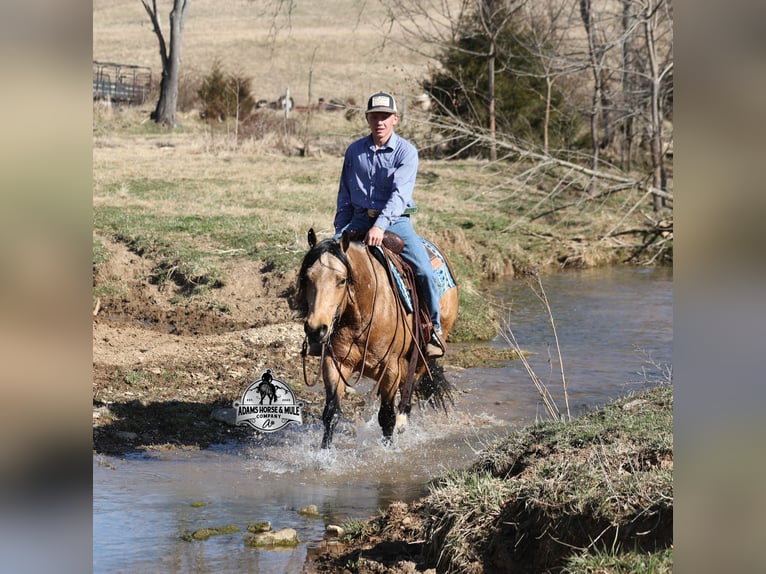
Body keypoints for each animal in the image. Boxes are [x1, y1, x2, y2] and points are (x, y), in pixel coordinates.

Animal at [296, 229, 459, 448]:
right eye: (307, 278)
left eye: (342, 280)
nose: (315, 329)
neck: (360, 316)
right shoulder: (336, 362)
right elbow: (331, 413)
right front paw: (324, 452)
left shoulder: (391, 369)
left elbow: (387, 417)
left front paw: (387, 449)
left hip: (424, 354)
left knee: (411, 385)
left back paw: (403, 421)